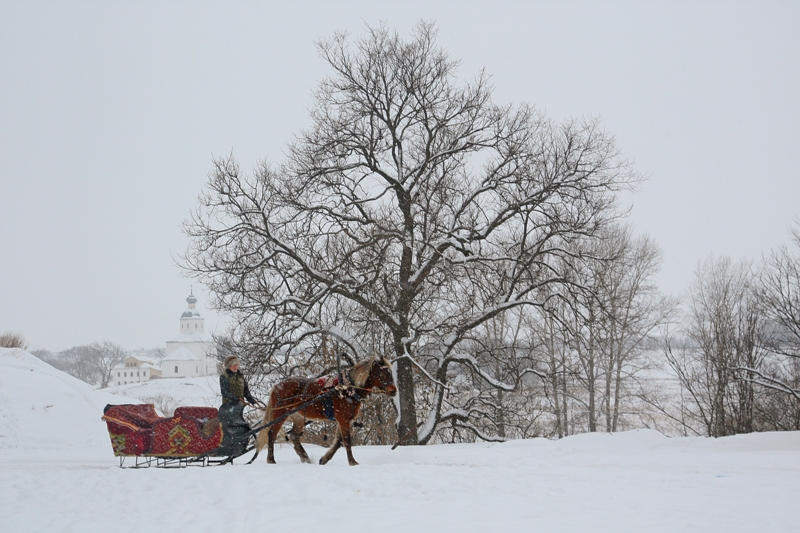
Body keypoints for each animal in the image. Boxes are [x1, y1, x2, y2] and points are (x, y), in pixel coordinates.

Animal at [255, 358, 396, 466]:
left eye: (390, 373)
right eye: (382, 374)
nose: (393, 391)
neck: (347, 389)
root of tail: (277, 386)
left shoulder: (343, 421)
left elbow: (339, 442)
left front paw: (324, 459)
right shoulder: (343, 419)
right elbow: (347, 441)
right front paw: (352, 462)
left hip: (298, 417)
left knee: (294, 436)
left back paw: (305, 458)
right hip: (280, 414)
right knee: (272, 434)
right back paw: (271, 460)